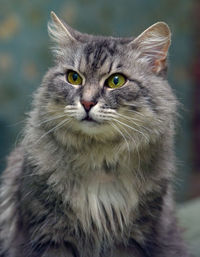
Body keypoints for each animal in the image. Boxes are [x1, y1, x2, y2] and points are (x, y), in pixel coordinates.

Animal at [0, 11, 191, 255]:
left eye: (116, 81)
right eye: (74, 78)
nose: (87, 103)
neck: (100, 161)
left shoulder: (134, 236)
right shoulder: (47, 232)